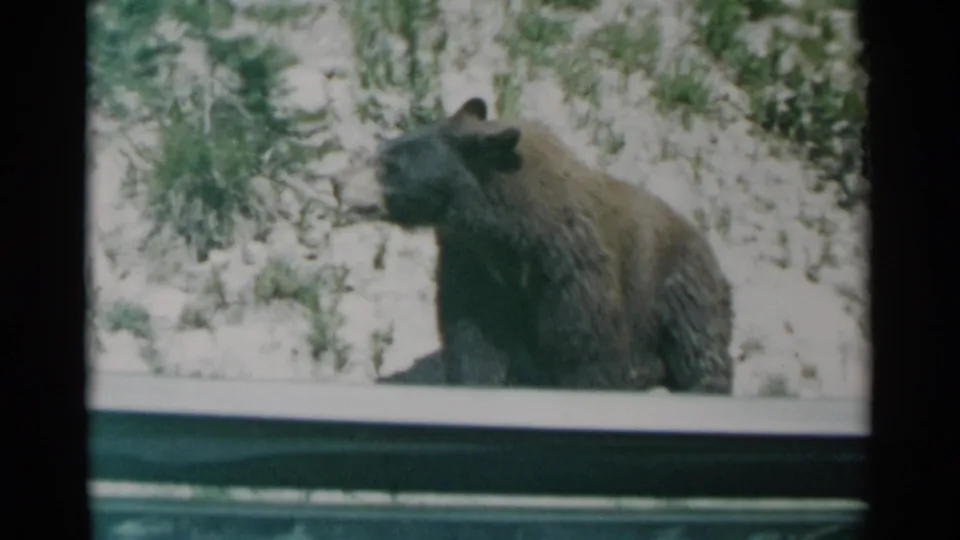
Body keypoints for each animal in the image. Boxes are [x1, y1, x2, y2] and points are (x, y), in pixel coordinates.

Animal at [331, 97, 735, 394]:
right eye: (383, 149)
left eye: (391, 165)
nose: (337, 181)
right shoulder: (472, 265)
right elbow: (474, 342)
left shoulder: (574, 273)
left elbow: (587, 352)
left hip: (681, 285)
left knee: (699, 348)